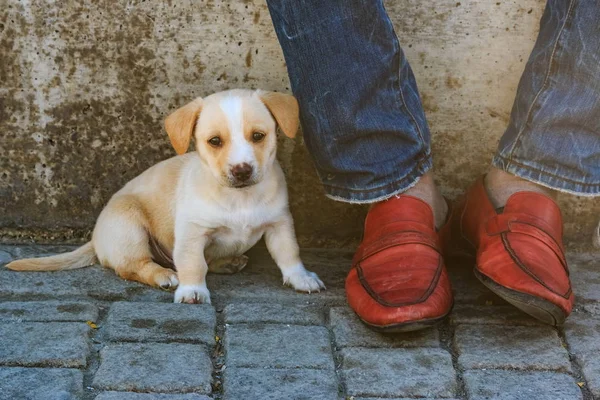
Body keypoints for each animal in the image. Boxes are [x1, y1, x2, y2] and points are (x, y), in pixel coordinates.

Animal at [5, 90, 324, 304]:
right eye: (215, 141)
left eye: (258, 136)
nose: (242, 171)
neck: (240, 198)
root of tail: (95, 239)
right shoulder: (192, 233)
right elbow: (193, 264)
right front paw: (192, 290)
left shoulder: (279, 224)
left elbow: (289, 253)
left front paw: (301, 277)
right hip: (129, 227)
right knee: (134, 267)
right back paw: (164, 276)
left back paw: (227, 262)